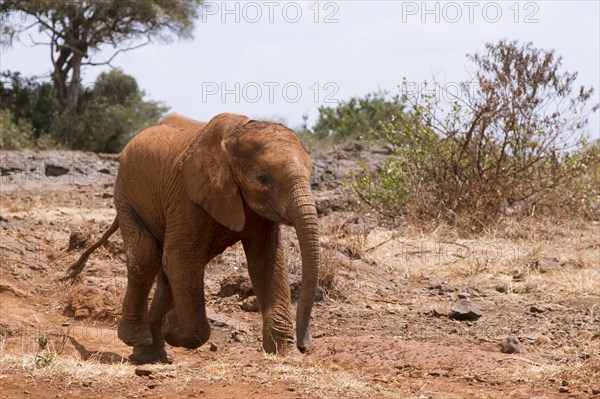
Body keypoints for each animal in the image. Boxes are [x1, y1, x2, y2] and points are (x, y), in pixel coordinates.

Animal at [62, 113, 322, 366]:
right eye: (263, 178)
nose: (305, 347)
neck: (235, 136)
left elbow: (267, 265)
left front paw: (281, 354)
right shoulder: (188, 197)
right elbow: (181, 258)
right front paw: (171, 328)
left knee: (166, 273)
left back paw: (151, 355)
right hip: (127, 194)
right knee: (148, 257)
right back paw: (139, 339)